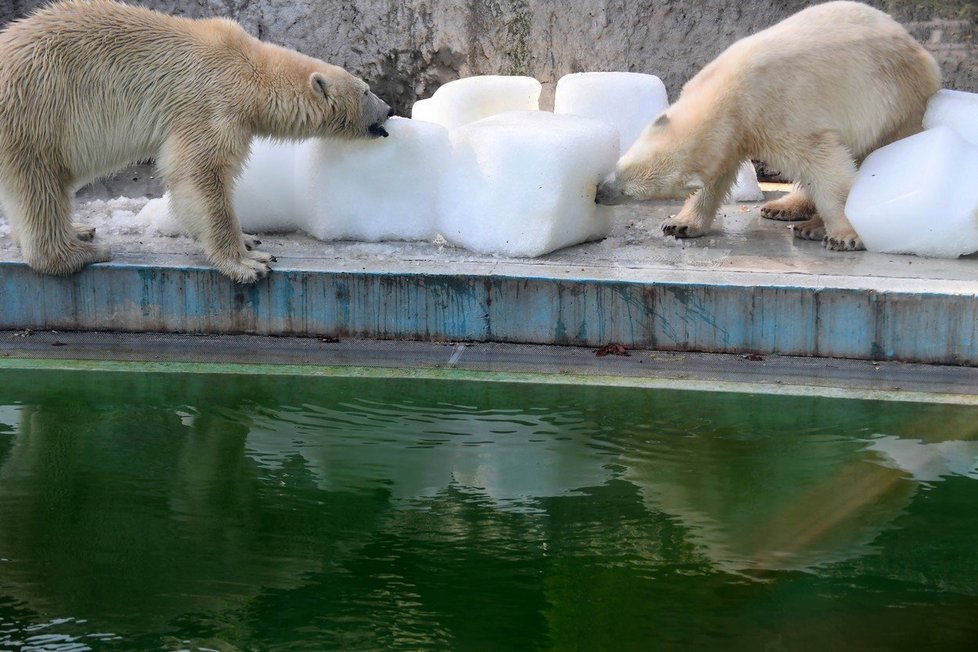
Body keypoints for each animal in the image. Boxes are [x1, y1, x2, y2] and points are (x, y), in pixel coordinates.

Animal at [0, 0, 388, 282]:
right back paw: (78, 253)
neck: (251, 69)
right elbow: (200, 173)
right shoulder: (213, 102)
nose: (388, 109)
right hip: (37, 107)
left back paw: (79, 230)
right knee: (39, 184)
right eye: (367, 90)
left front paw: (249, 239)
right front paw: (249, 262)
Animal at [592, 1, 940, 251]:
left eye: (630, 193)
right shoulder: (734, 132)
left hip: (896, 104)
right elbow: (717, 177)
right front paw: (679, 223)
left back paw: (812, 226)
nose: (599, 193)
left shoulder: (781, 113)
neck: (729, 91)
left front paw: (846, 235)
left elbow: (826, 166)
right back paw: (783, 209)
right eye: (619, 168)